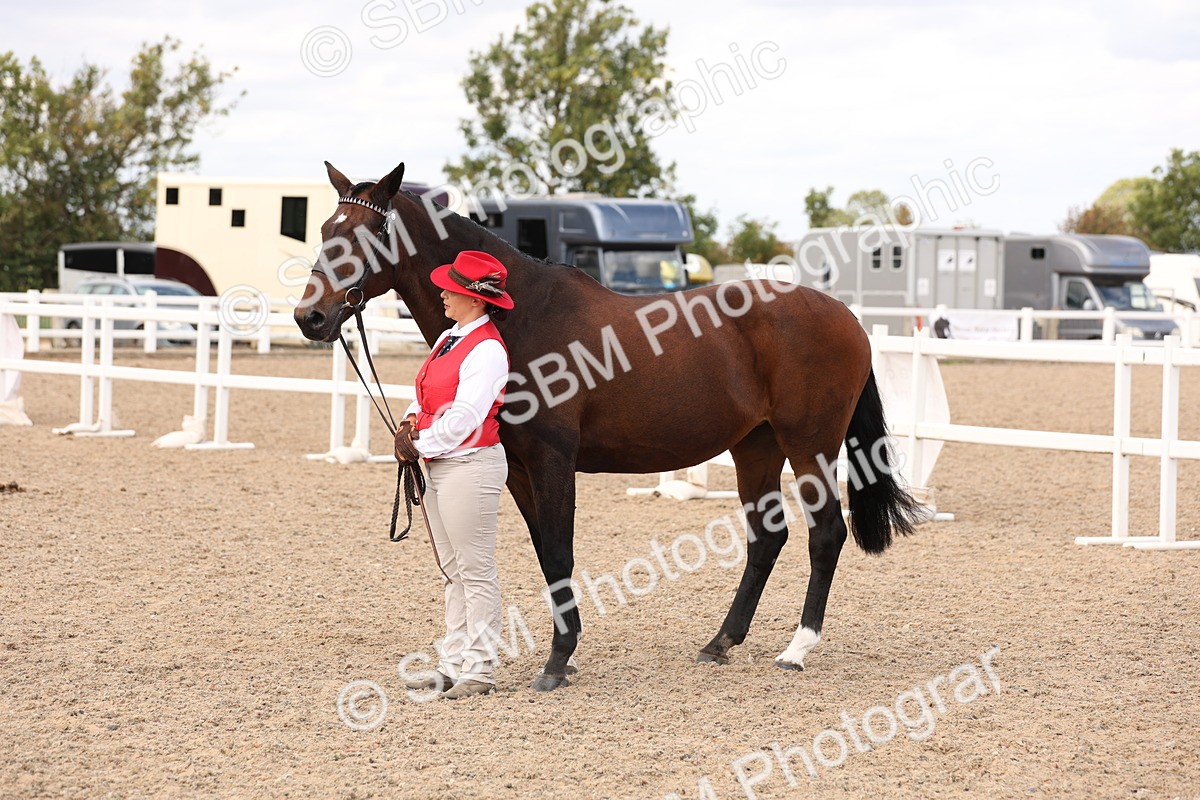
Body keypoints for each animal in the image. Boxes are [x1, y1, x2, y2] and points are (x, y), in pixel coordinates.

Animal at [294, 161, 920, 691]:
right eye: (325, 230)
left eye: (366, 234)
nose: (310, 316)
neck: (522, 316)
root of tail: (847, 317)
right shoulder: (517, 469)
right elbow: (546, 554)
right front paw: (557, 654)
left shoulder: (552, 459)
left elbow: (560, 552)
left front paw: (556, 663)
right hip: (756, 447)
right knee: (767, 538)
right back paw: (720, 642)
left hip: (809, 445)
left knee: (826, 534)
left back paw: (797, 648)